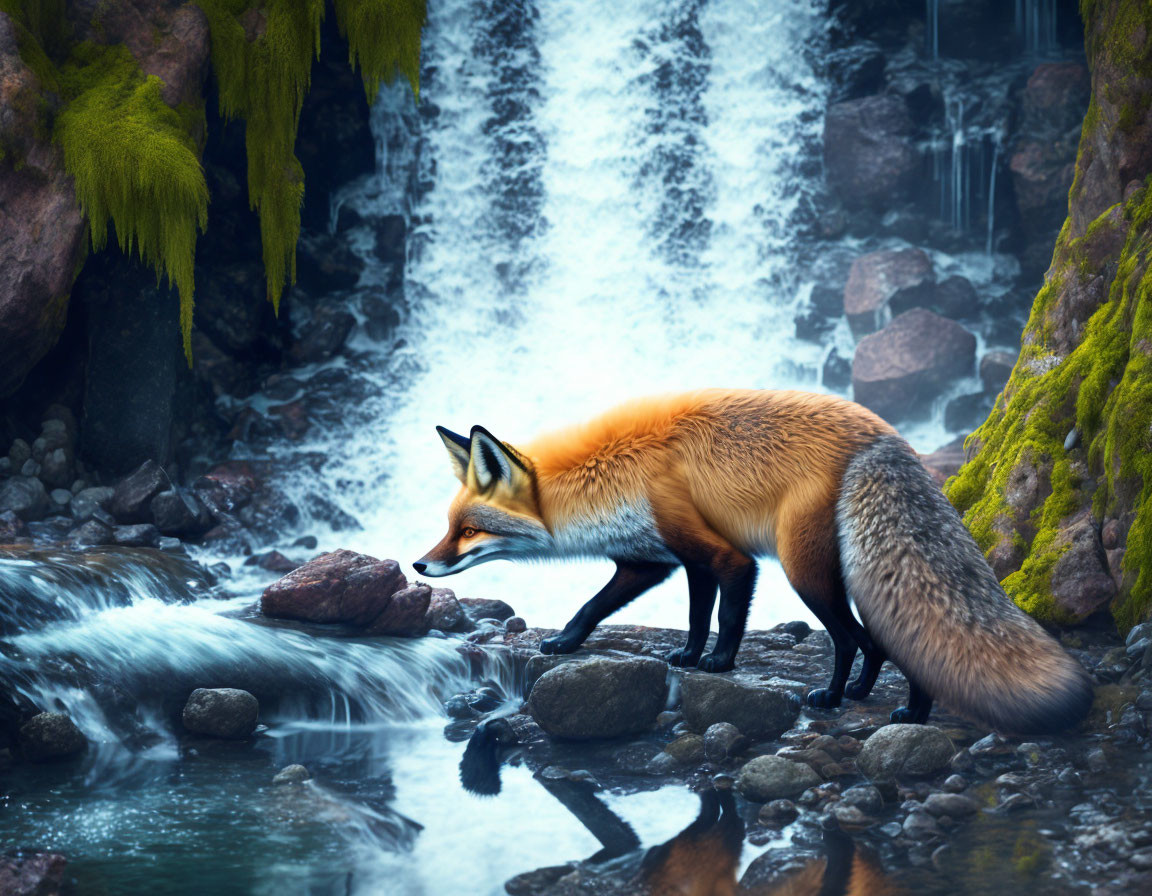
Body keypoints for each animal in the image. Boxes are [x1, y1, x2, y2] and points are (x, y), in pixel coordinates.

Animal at [419, 386, 1092, 727]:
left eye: (469, 531)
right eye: (449, 527)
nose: (422, 565)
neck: (619, 475)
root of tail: (883, 435)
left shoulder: (730, 557)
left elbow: (725, 614)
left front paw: (718, 663)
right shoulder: (665, 559)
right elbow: (641, 609)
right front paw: (587, 644)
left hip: (805, 571)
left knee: (851, 639)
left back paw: (848, 700)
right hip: (844, 573)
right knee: (881, 640)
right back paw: (880, 700)